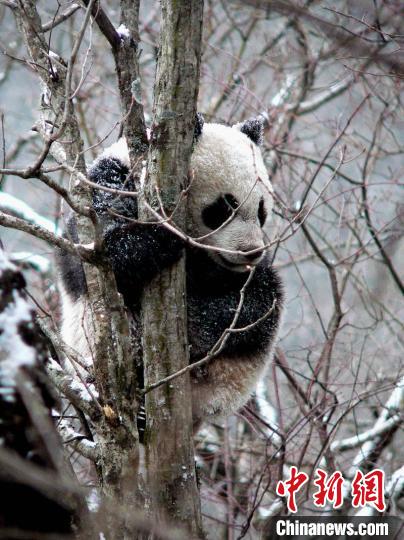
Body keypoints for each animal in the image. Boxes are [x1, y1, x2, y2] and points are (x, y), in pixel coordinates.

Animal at [57, 115, 284, 430]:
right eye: (225, 207)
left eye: (261, 210)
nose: (251, 252)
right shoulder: (110, 183)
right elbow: (102, 255)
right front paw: (162, 238)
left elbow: (256, 298)